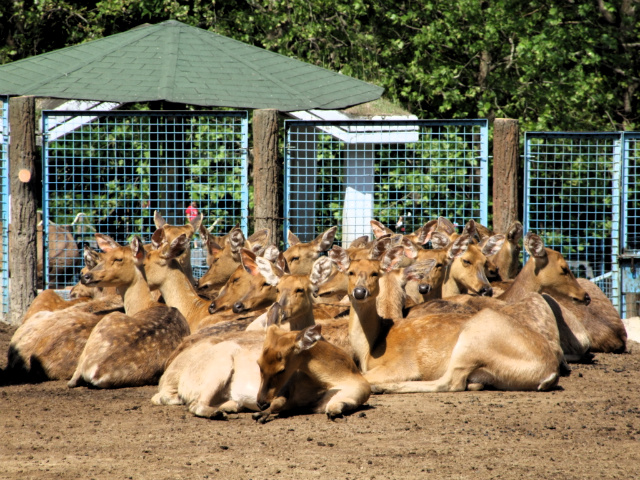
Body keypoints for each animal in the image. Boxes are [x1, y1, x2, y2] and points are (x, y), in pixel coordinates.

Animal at [69, 234, 191, 388]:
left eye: (118, 259)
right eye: (104, 257)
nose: (86, 277)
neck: (144, 305)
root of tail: (96, 370)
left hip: (109, 318)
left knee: (73, 379)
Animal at [330, 242, 564, 392]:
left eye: (375, 273)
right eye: (350, 272)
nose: (360, 292)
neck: (370, 349)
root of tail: (549, 371)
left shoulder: (399, 363)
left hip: (474, 339)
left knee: (451, 383)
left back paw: (382, 387)